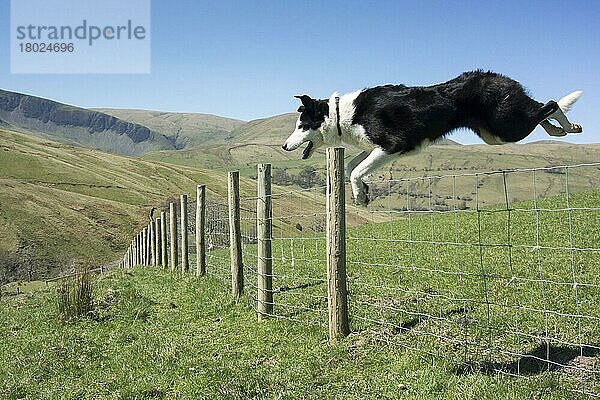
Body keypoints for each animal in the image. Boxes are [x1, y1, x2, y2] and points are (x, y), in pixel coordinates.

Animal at [282, 70, 580, 205]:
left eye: (301, 125)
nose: (284, 146)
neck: (342, 113)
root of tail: (498, 77)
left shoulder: (392, 145)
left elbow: (356, 170)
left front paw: (359, 193)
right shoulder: (375, 148)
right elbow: (352, 166)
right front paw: (362, 191)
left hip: (506, 127)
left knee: (550, 104)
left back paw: (570, 125)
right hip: (495, 133)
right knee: (541, 110)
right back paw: (558, 129)